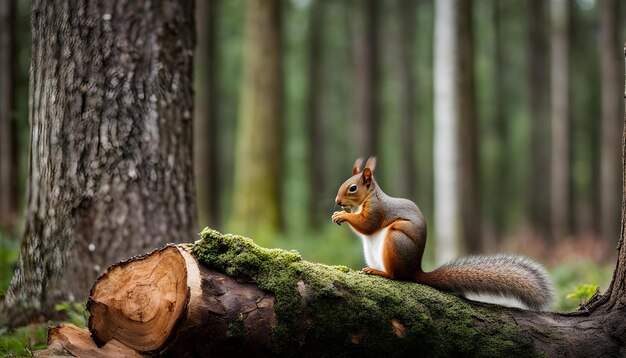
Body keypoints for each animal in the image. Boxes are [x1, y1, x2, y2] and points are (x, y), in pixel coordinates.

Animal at [332, 157, 552, 310]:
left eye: (352, 188)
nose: (337, 201)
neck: (366, 199)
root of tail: (415, 269)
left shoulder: (377, 210)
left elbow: (367, 225)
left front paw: (342, 215)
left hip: (396, 240)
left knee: (396, 276)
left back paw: (380, 272)